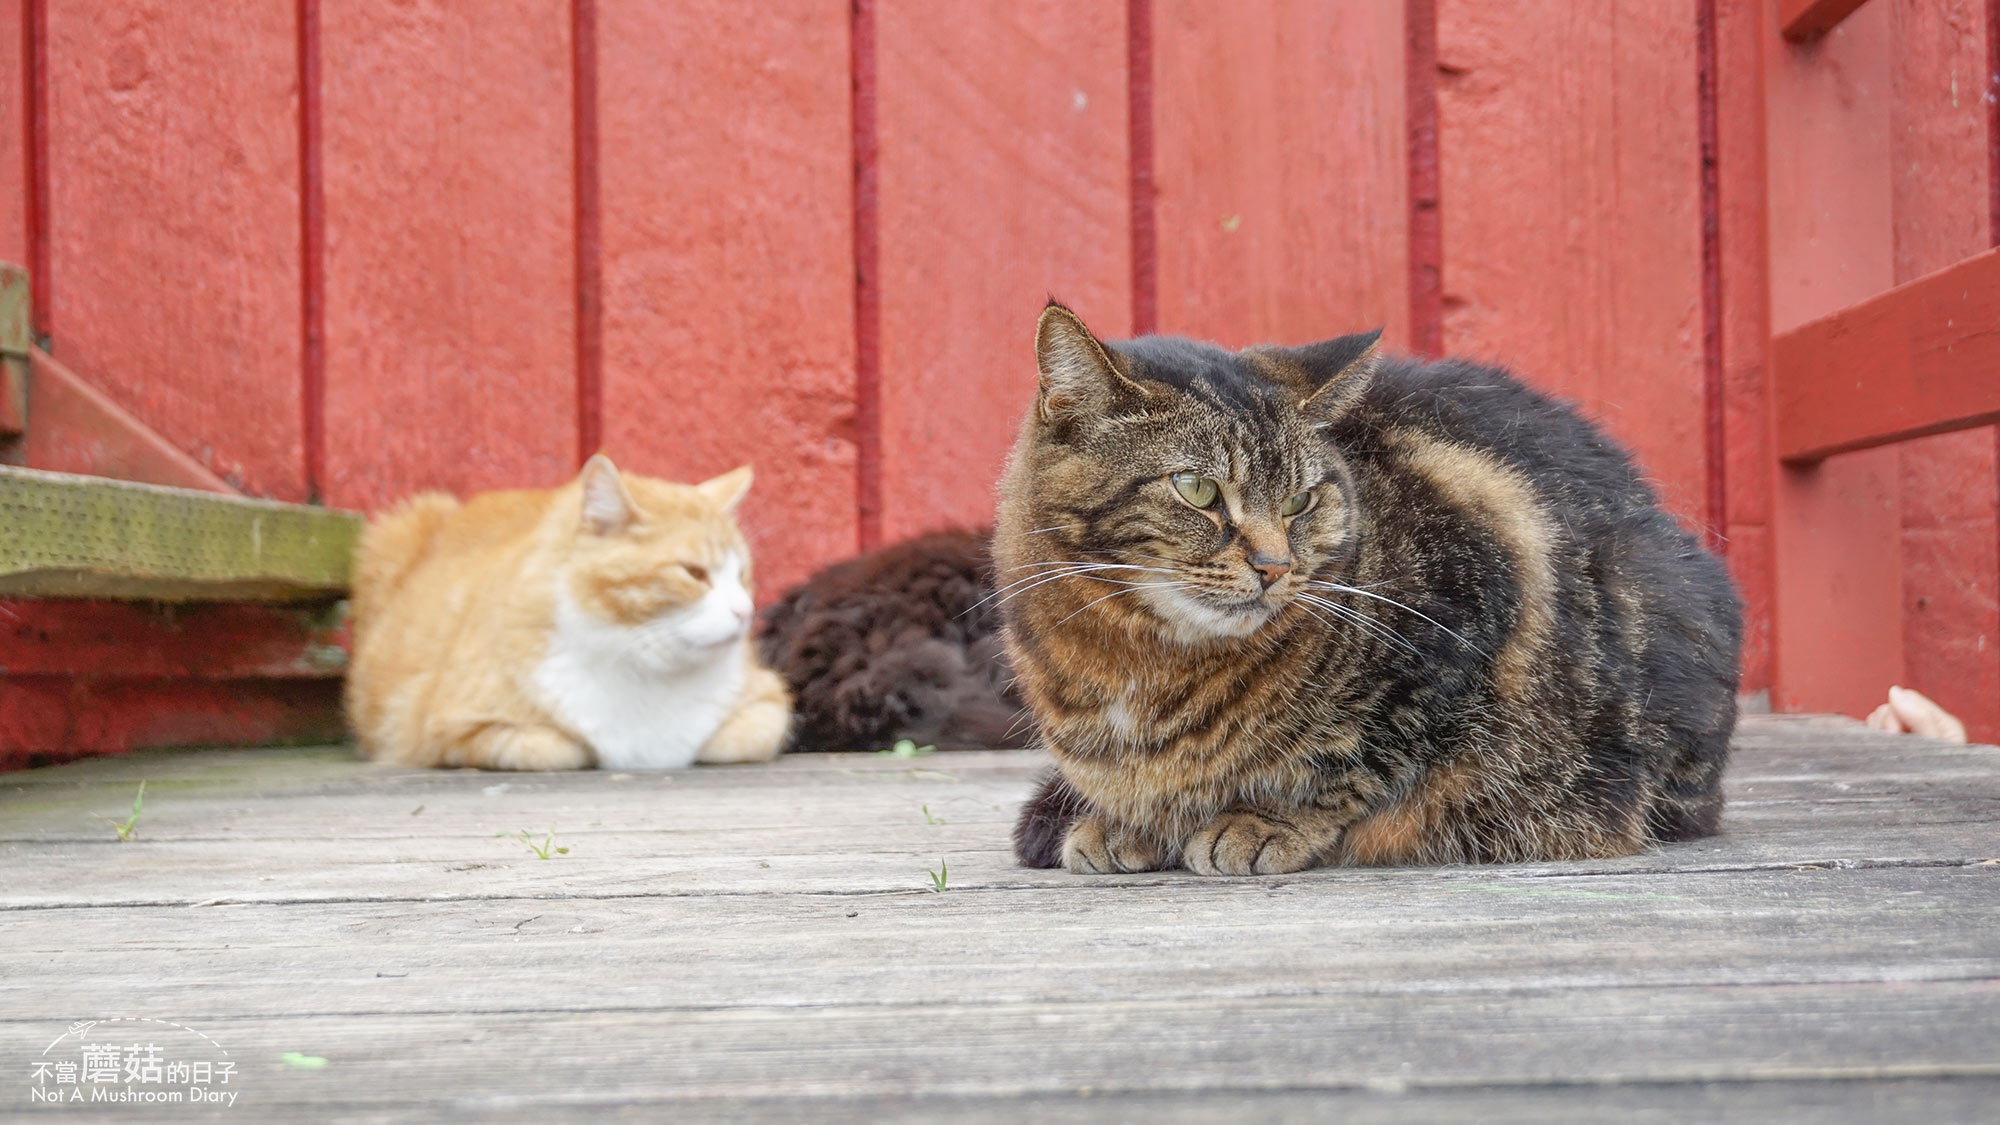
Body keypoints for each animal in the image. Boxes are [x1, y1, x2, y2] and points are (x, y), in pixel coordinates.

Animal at [344, 450, 788, 764]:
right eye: (695, 573)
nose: (745, 612)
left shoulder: (769, 702)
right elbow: (558, 749)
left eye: (742, 574)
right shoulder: (442, 726)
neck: (641, 662)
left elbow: (737, 740)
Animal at [1008, 302, 1744, 872]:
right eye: (1197, 489)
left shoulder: (1462, 619)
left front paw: (1262, 819)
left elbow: (1354, 758)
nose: (1275, 566)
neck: (1140, 662)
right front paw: (1123, 820)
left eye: (1301, 500)